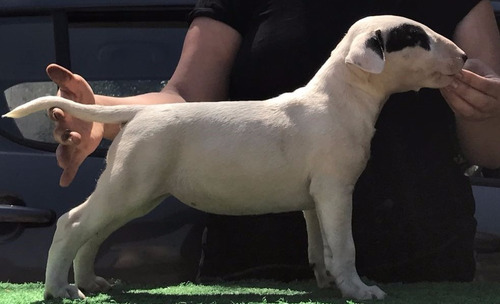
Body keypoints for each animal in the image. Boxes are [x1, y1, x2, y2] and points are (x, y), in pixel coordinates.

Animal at [3, 15, 466, 300]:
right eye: (417, 37)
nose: (463, 57)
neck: (340, 97)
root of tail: (139, 113)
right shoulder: (336, 192)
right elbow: (345, 245)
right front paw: (359, 290)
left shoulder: (315, 200)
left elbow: (320, 246)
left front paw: (327, 281)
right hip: (129, 187)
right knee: (73, 223)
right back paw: (59, 289)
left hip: (134, 192)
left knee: (93, 234)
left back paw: (91, 281)